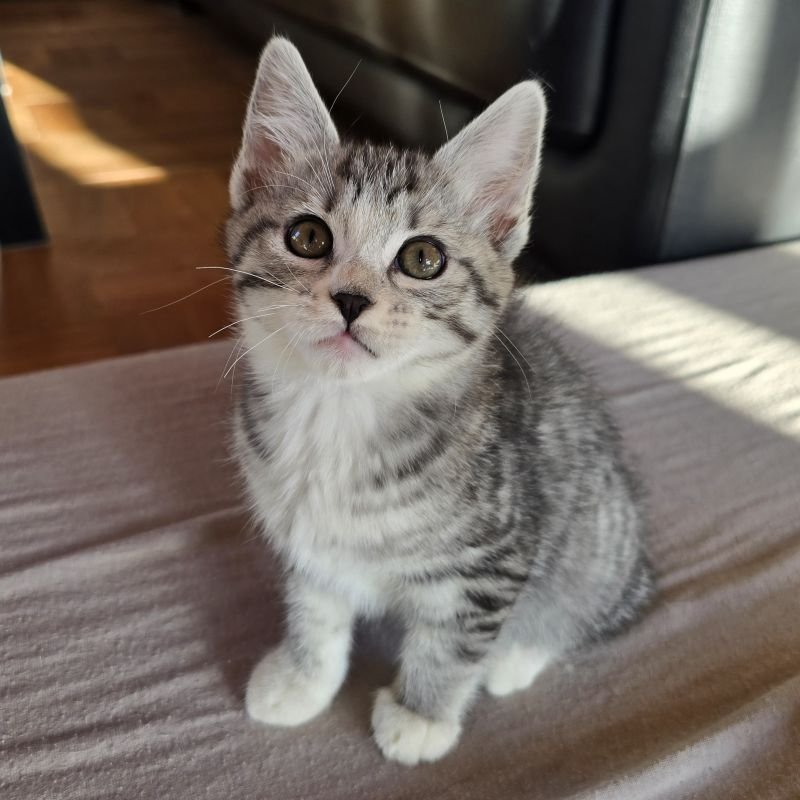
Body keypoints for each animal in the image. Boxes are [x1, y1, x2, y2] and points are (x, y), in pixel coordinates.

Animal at [225, 37, 653, 766]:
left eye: (423, 258)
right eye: (308, 237)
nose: (350, 299)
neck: (339, 419)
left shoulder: (494, 557)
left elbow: (451, 645)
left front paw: (421, 716)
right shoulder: (308, 542)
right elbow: (315, 612)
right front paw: (305, 679)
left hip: (597, 544)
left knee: (582, 608)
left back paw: (515, 657)